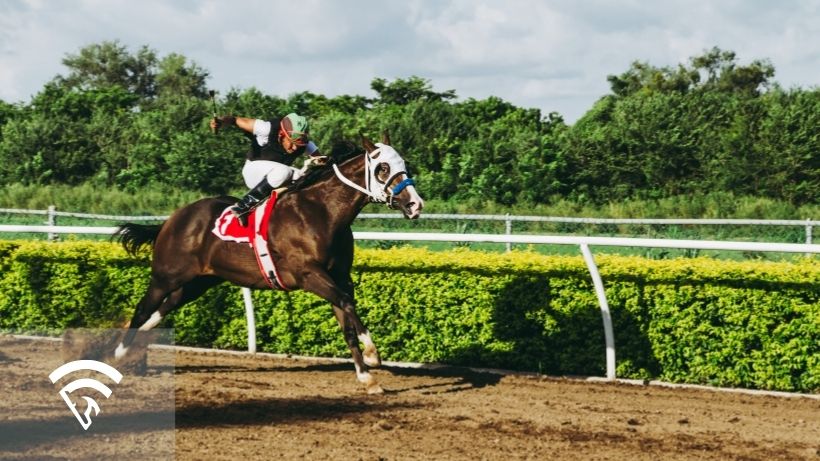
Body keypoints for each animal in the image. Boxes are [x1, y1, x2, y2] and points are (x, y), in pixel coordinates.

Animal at [113, 135, 424, 394]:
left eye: (404, 165)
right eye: (383, 167)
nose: (415, 204)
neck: (322, 212)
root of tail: (172, 219)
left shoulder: (340, 278)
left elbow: (347, 319)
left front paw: (367, 378)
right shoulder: (309, 275)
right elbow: (347, 305)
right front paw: (372, 355)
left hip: (197, 282)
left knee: (162, 309)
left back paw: (135, 347)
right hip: (165, 276)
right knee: (143, 308)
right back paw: (118, 353)